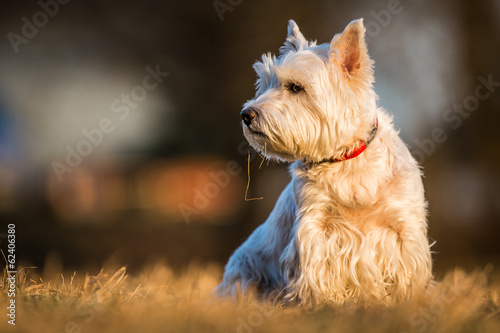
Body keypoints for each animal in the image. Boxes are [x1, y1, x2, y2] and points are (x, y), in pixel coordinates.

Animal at [217, 17, 432, 304]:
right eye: (265, 83)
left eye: (295, 87)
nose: (246, 114)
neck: (346, 161)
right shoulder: (315, 226)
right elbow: (316, 273)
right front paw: (321, 305)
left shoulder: (403, 228)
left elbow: (408, 274)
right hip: (242, 274)